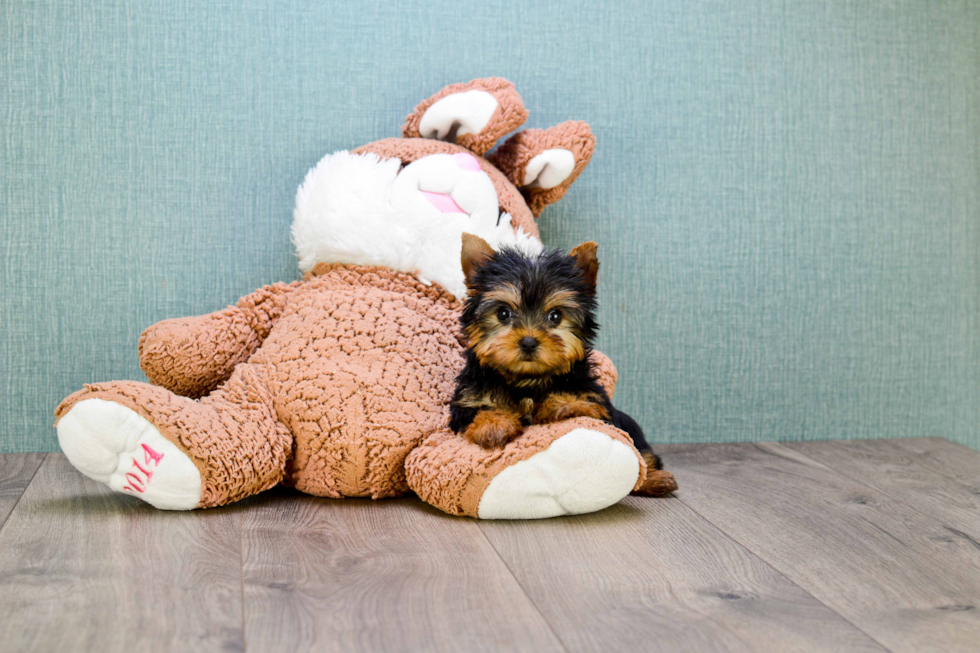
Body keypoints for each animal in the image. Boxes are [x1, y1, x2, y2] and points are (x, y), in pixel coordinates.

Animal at [450, 233, 668, 484]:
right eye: (503, 313)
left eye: (555, 316)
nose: (528, 342)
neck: (526, 379)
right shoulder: (469, 399)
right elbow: (480, 411)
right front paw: (494, 425)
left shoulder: (593, 396)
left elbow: (584, 403)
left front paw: (564, 405)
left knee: (643, 453)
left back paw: (658, 481)